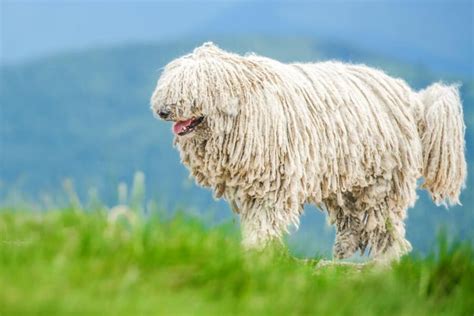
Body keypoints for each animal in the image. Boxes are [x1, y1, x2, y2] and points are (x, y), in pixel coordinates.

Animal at [152, 43, 466, 262]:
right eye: (167, 86)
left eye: (189, 88)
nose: (163, 110)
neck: (245, 107)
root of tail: (412, 99)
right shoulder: (253, 184)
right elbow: (255, 219)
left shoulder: (274, 182)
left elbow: (265, 219)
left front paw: (258, 251)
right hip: (350, 179)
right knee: (354, 218)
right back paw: (343, 251)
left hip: (382, 180)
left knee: (384, 224)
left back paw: (383, 263)